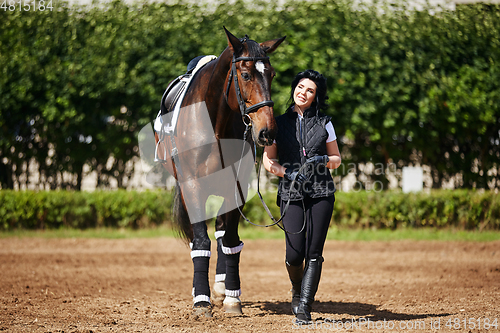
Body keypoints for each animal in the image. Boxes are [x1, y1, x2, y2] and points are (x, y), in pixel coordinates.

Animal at [154, 27, 286, 316]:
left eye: (271, 75)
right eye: (246, 75)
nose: (268, 131)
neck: (214, 123)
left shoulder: (237, 188)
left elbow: (231, 240)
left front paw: (232, 298)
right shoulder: (192, 185)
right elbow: (201, 242)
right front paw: (201, 300)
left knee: (221, 232)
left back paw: (221, 287)